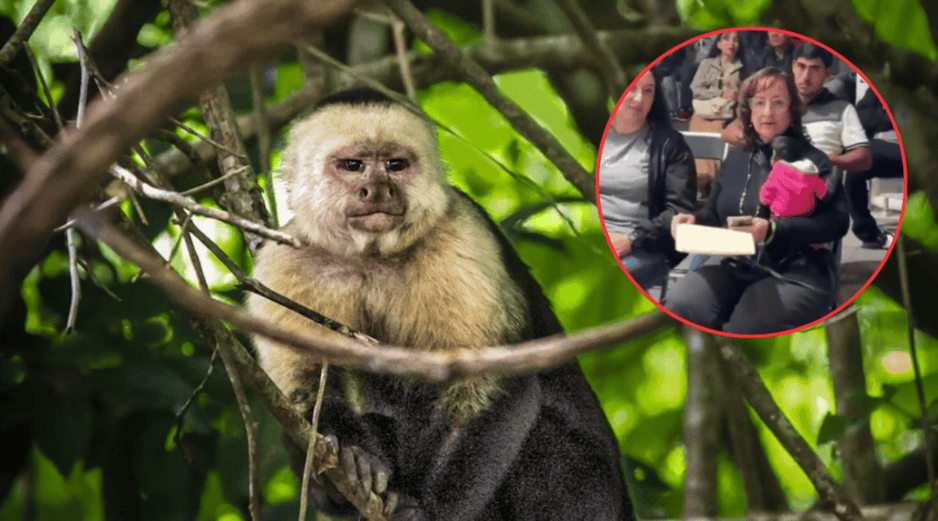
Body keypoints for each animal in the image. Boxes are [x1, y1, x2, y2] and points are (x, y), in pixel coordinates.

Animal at [246, 86, 634, 520]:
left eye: (396, 165)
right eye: (353, 165)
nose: (377, 190)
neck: (371, 256)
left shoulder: (460, 239)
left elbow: (494, 386)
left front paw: (427, 509)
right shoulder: (285, 263)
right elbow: (307, 390)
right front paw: (355, 456)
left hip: (588, 495)